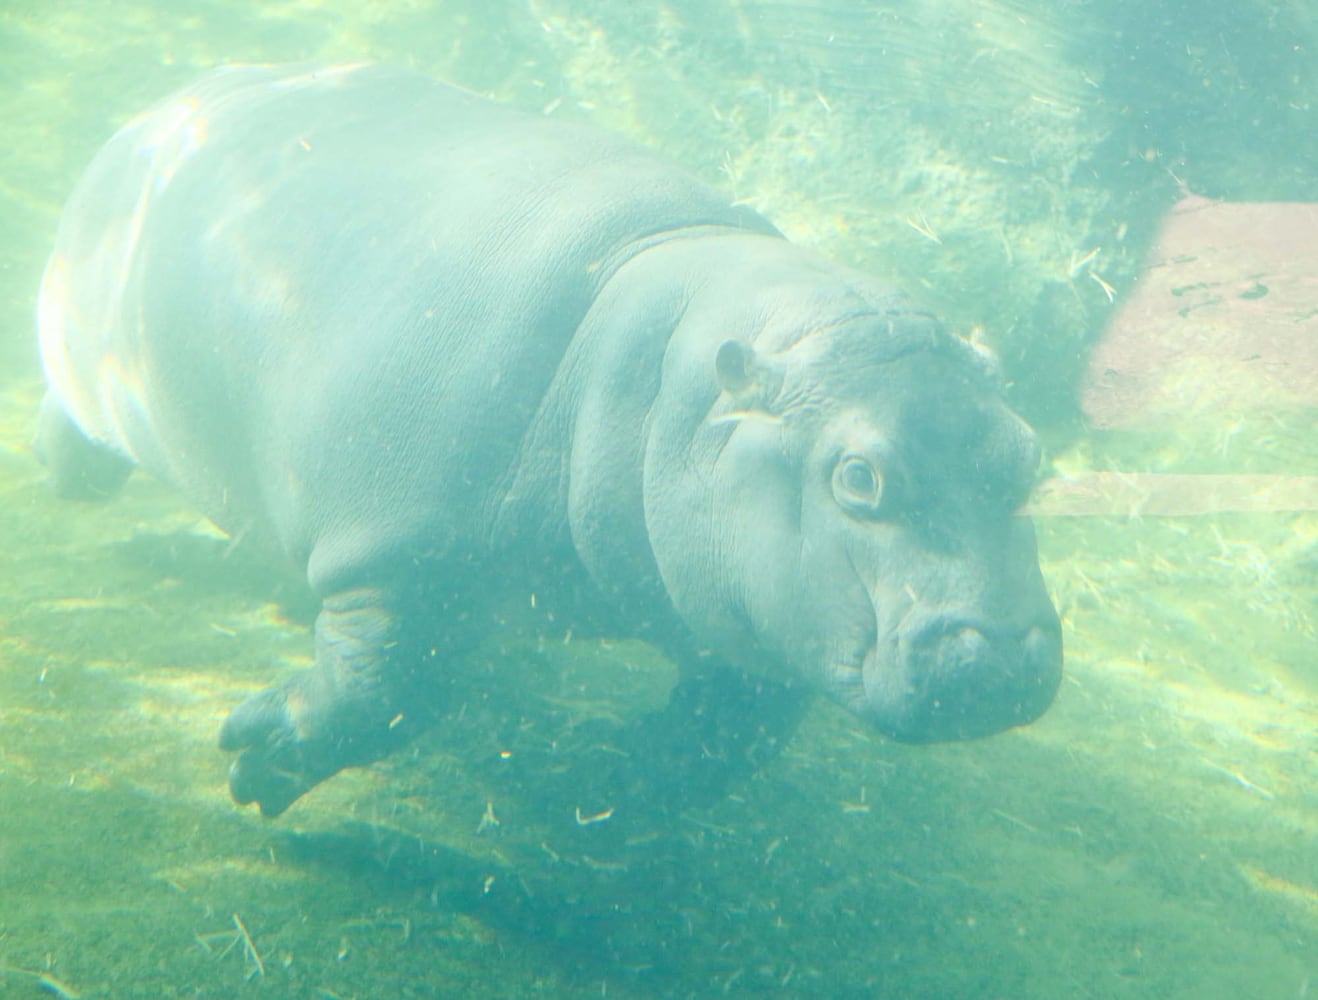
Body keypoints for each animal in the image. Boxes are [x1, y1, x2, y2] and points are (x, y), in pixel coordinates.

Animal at [33, 62, 1059, 816]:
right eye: (858, 477)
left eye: (1030, 459)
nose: (1007, 654)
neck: (660, 372)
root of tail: (162, 106)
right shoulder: (401, 548)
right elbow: (384, 690)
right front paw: (256, 765)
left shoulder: (748, 608)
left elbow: (730, 733)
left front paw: (604, 775)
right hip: (83, 354)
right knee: (68, 412)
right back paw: (69, 481)